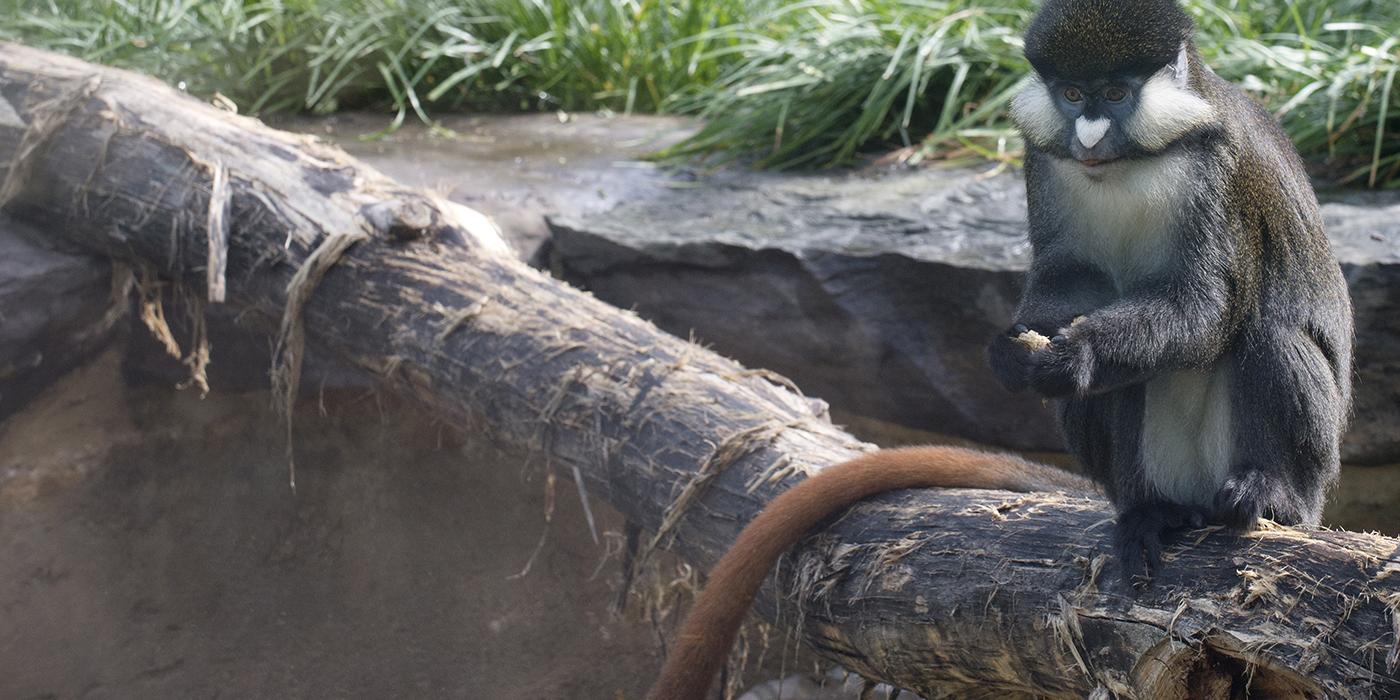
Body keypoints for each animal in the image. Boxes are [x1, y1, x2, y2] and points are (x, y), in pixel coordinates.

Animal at [646, 2, 1355, 697]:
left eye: (1115, 93)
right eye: (1072, 95)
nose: (1087, 136)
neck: (1136, 164)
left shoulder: (1217, 169)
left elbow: (1206, 305)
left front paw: (1080, 353)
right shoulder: (1044, 163)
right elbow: (1068, 279)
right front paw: (1015, 353)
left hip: (1299, 479)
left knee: (1269, 336)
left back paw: (1269, 495)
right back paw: (1150, 513)